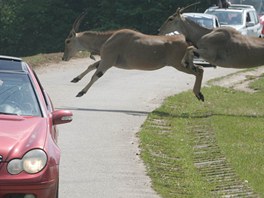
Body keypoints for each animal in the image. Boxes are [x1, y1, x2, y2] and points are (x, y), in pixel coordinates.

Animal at [62, 11, 204, 100]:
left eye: (67, 41)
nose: (64, 58)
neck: (108, 38)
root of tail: (187, 41)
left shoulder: (107, 61)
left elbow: (96, 75)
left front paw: (81, 92)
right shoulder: (107, 61)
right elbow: (91, 66)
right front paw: (75, 79)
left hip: (179, 65)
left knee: (199, 70)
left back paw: (198, 94)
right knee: (200, 69)